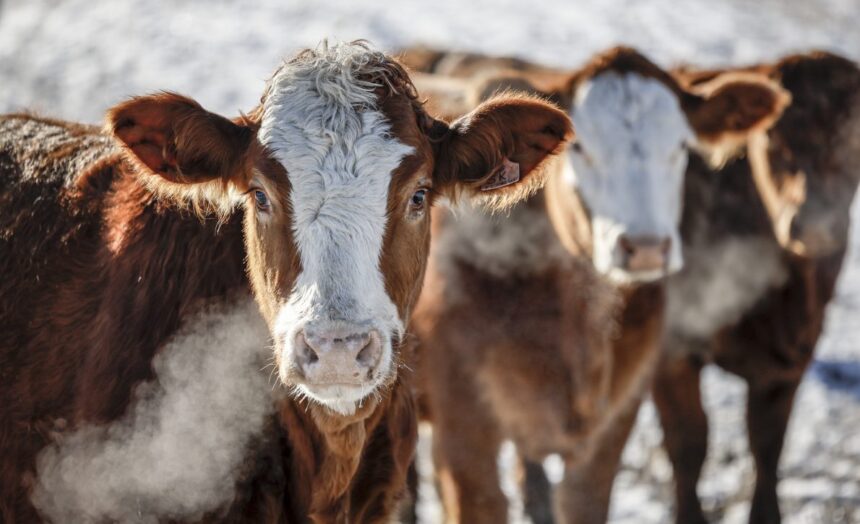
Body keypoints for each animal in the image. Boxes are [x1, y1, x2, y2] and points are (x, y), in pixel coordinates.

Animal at [654, 51, 860, 524]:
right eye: (772, 139)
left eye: (856, 138)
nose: (815, 222)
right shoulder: (672, 350)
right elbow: (689, 445)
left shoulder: (790, 359)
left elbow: (767, 447)